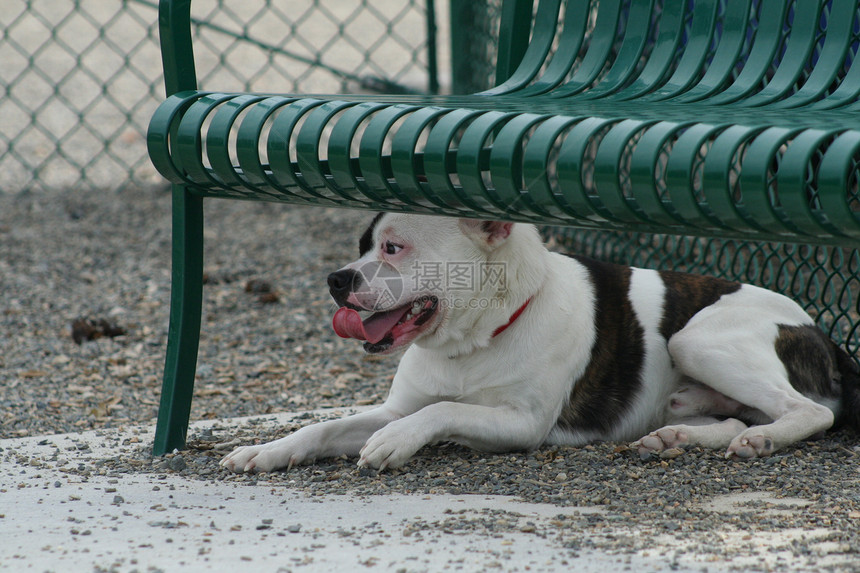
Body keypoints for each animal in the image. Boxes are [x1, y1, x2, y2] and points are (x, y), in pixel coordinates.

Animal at [222, 212, 860, 472]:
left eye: (394, 248)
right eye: (361, 246)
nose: (337, 280)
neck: (473, 341)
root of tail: (823, 334)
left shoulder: (520, 423)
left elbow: (443, 412)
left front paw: (396, 443)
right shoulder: (394, 405)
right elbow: (324, 427)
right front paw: (267, 450)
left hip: (698, 339)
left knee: (809, 413)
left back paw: (764, 440)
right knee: (736, 416)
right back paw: (680, 434)